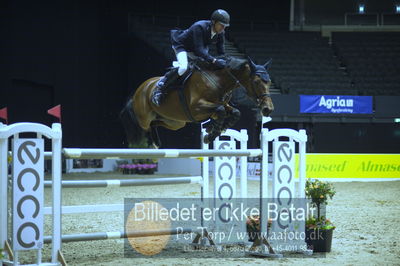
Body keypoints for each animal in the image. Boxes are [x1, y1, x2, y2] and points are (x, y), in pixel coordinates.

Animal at [120, 57, 274, 148]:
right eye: (256, 81)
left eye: (269, 82)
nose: (268, 109)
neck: (218, 82)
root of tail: (140, 89)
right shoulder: (196, 108)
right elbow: (220, 110)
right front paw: (211, 133)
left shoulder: (223, 105)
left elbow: (235, 112)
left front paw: (217, 129)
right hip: (144, 118)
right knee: (146, 127)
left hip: (175, 122)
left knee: (155, 123)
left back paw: (157, 142)